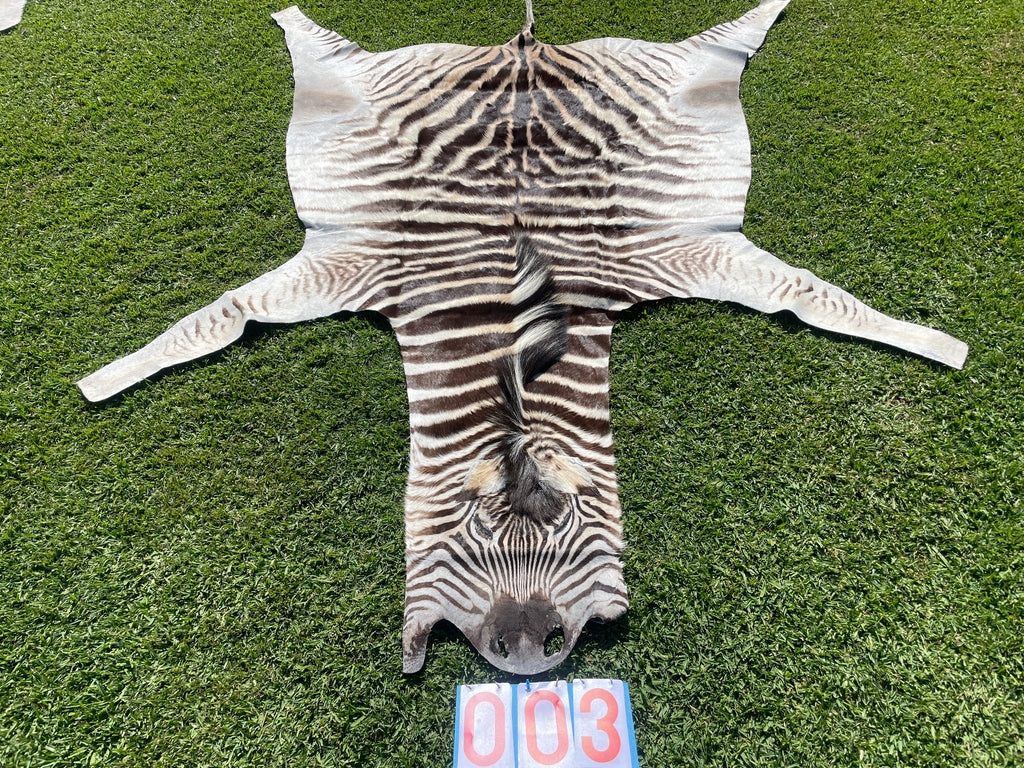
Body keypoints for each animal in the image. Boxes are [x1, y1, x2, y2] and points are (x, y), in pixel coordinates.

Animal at [78, 0, 967, 674]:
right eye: (476, 530)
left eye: (567, 519)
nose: (530, 651)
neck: (505, 329)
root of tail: (523, 49)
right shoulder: (357, 265)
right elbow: (214, 318)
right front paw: (104, 378)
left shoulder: (680, 254)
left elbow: (817, 299)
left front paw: (937, 343)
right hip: (358, 86)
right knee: (321, 46)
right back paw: (289, 14)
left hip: (681, 75)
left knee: (726, 38)